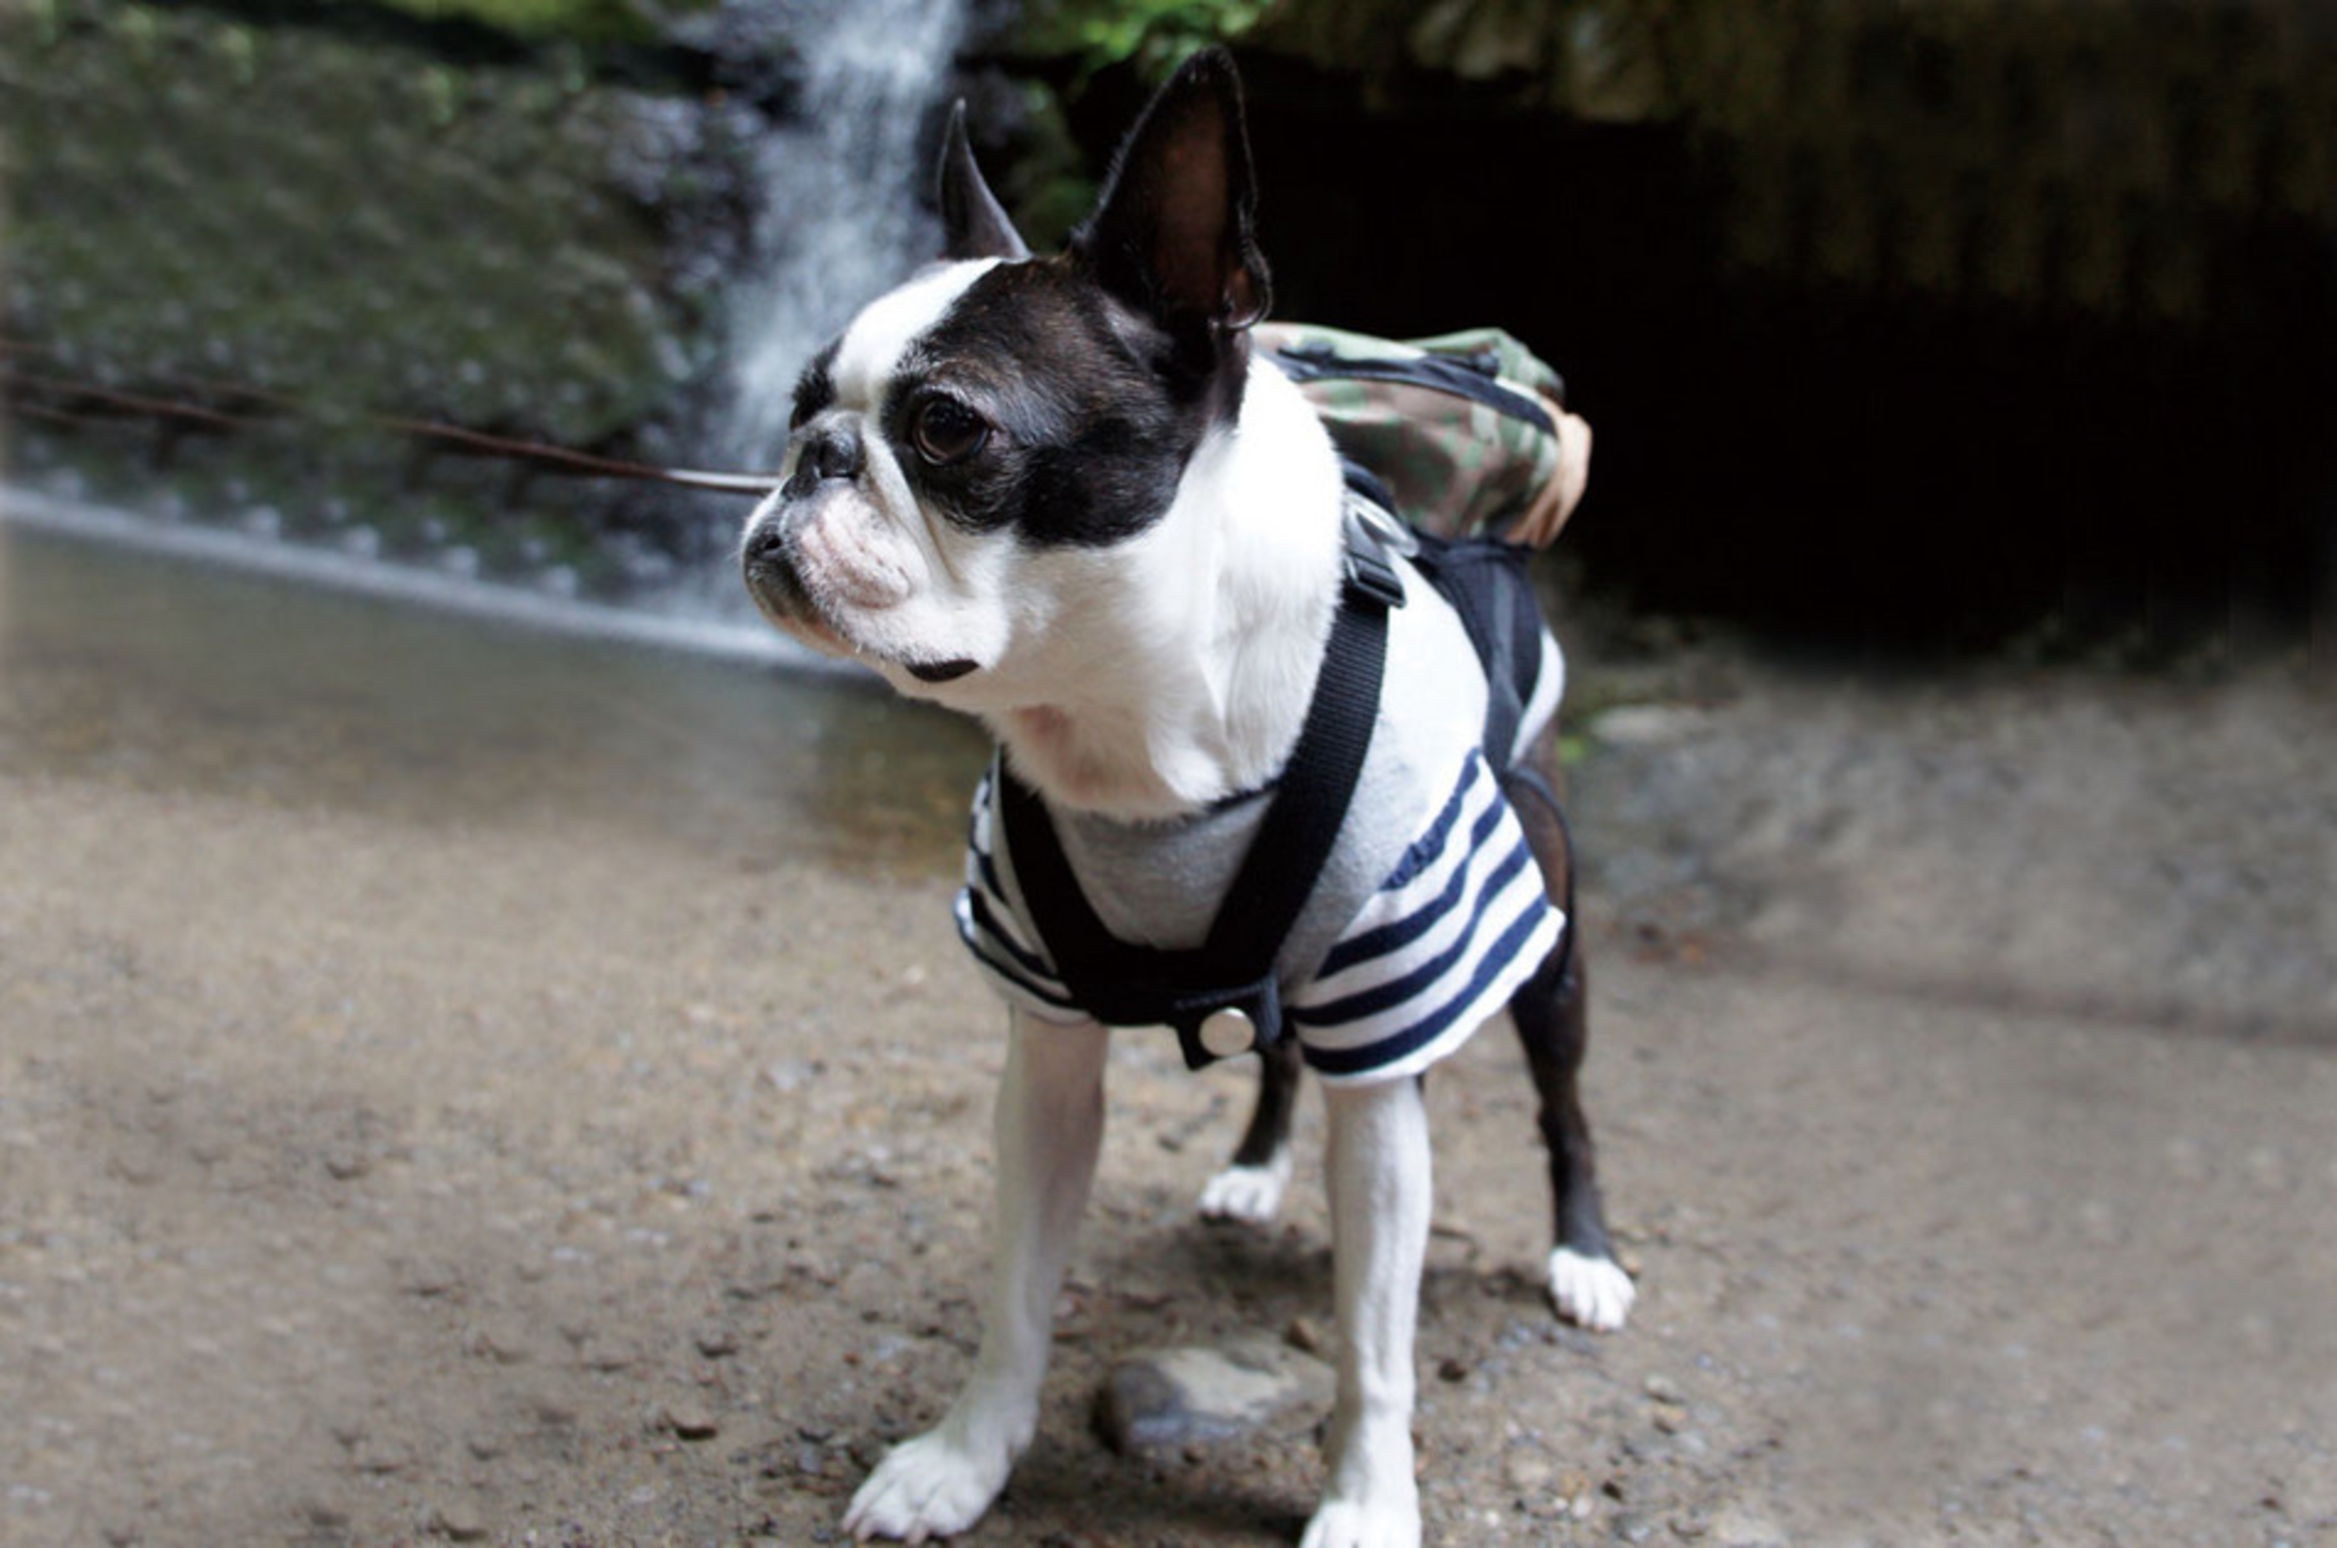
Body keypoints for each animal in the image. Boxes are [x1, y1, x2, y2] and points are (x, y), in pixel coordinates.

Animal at [738, 51, 1635, 1548]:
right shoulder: (1043, 1045)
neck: (1131, 730)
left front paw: (1368, 1501)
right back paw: (1258, 1167)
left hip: (1542, 938)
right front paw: (962, 1460)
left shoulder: (1393, 1036)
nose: (811, 458)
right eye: (799, 405)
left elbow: (1374, 1343)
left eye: (944, 427)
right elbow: (1015, 1293)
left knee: (1561, 1106)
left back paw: (1584, 1256)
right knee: (1274, 1047)